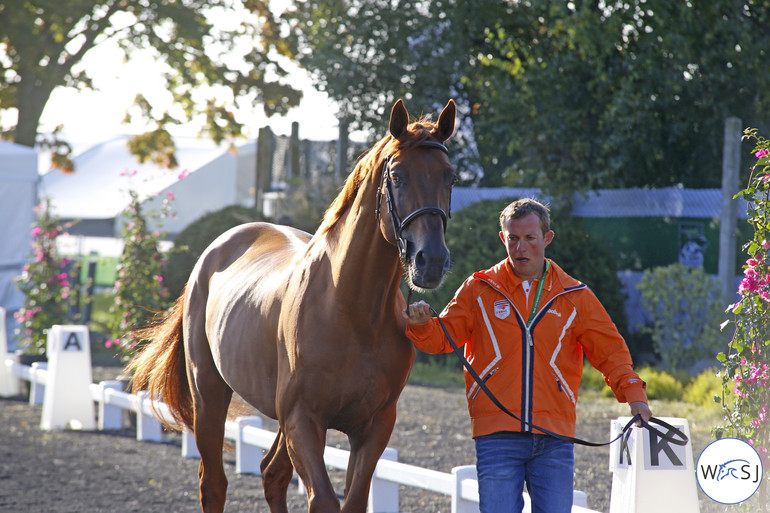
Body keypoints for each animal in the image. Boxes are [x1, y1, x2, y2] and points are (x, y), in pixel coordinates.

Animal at [130, 98, 456, 510]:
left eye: (450, 178)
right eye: (397, 177)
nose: (431, 261)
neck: (351, 309)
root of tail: (214, 251)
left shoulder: (374, 426)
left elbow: (350, 500)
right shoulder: (304, 420)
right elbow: (324, 501)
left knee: (272, 474)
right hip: (209, 393)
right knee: (214, 482)